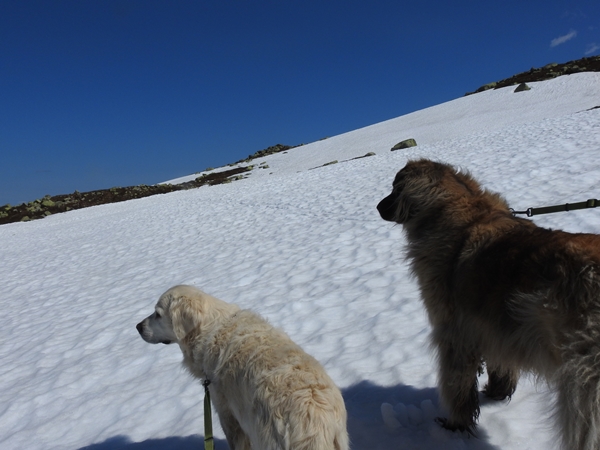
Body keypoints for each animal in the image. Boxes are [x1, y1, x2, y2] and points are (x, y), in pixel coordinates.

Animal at [378, 159, 600, 450]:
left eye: (394, 188)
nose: (378, 207)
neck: (465, 207)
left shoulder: (454, 333)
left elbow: (456, 384)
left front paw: (455, 425)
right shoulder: (495, 325)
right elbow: (500, 362)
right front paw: (498, 392)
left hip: (583, 381)